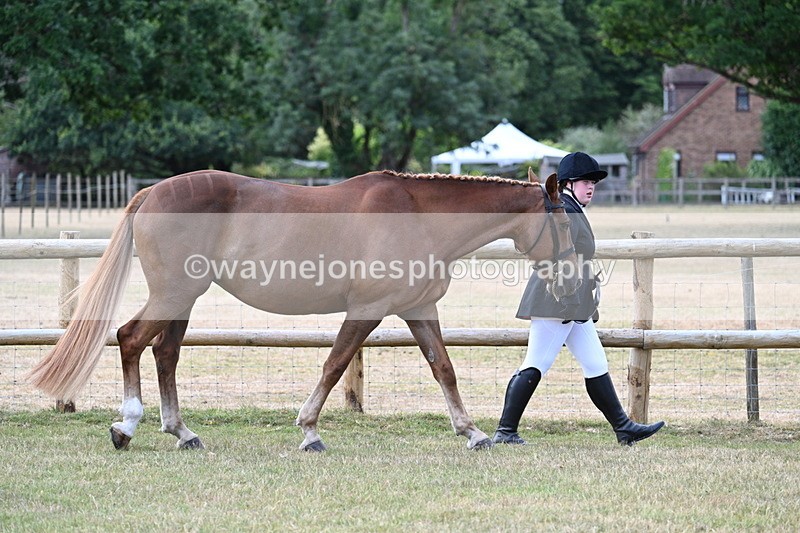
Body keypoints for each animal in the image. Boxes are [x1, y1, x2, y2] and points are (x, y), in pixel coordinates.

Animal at [27, 168, 579, 452]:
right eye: (566, 223)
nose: (574, 276)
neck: (416, 215)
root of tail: (151, 192)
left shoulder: (419, 308)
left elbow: (443, 368)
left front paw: (472, 432)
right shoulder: (369, 309)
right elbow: (334, 365)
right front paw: (310, 430)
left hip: (184, 298)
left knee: (165, 354)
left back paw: (182, 432)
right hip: (173, 294)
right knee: (130, 339)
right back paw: (127, 426)